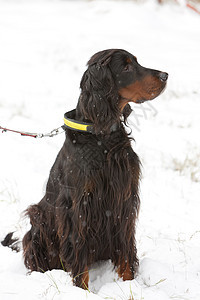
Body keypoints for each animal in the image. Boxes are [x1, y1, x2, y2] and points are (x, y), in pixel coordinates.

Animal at [1, 49, 167, 288]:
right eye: (126, 67)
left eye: (137, 62)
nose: (165, 75)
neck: (101, 135)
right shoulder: (79, 206)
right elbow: (79, 252)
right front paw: (83, 289)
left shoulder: (124, 198)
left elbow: (125, 249)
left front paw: (130, 284)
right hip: (38, 218)